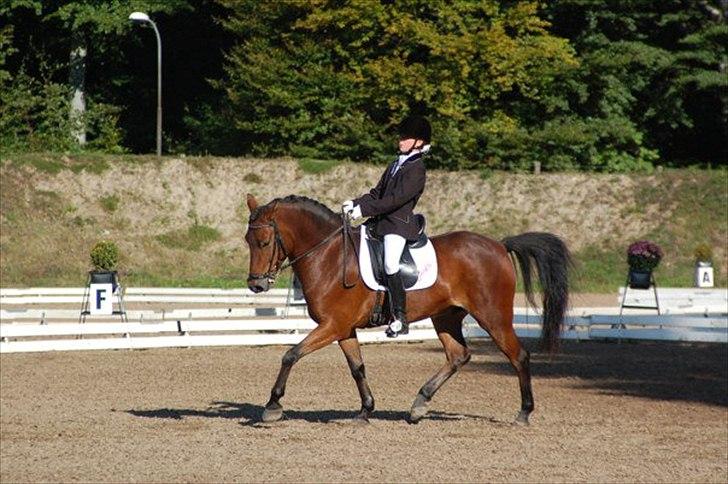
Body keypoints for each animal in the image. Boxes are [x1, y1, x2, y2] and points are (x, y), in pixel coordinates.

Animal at [244, 194, 571, 425]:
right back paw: (418, 405)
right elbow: (357, 368)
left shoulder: (332, 325)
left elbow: (291, 354)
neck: (329, 255)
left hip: (493, 316)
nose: (256, 285)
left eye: (264, 241)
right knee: (458, 355)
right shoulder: (343, 328)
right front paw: (365, 411)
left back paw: (524, 413)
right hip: (446, 317)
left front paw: (272, 406)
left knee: (518, 356)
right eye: (248, 240)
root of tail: (500, 246)